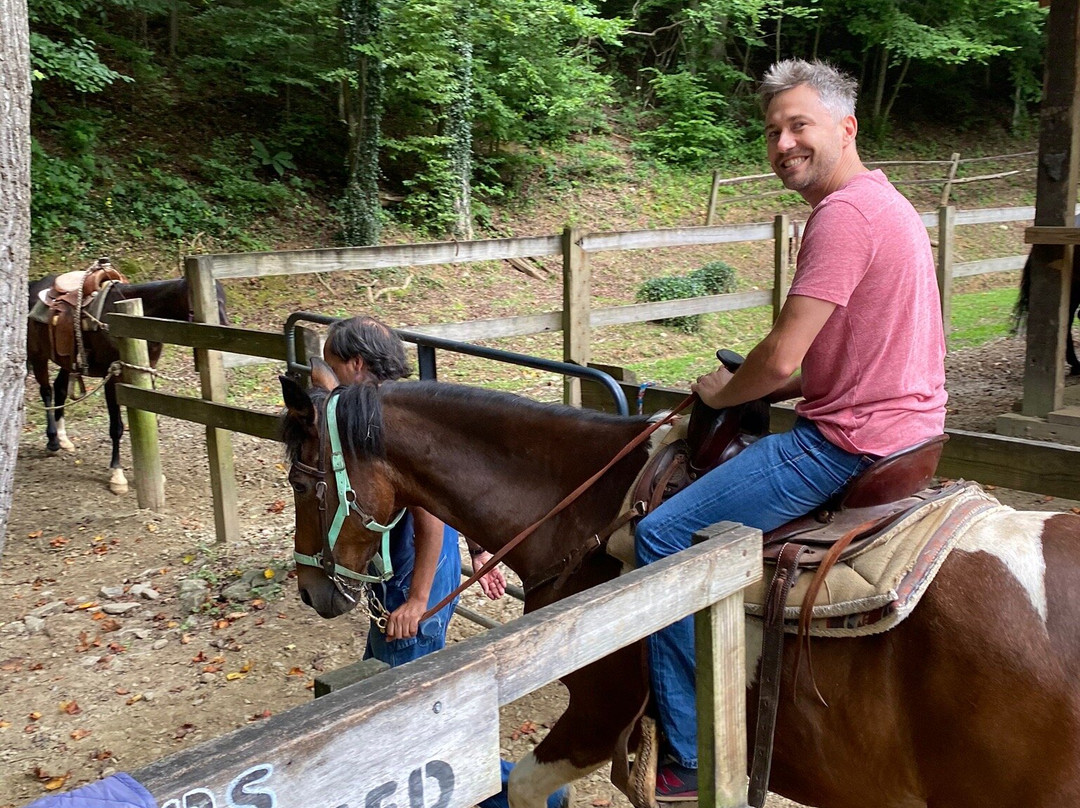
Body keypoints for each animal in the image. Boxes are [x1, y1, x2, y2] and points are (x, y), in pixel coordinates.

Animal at [27, 276, 226, 492]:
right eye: (202, 304)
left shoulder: (147, 372)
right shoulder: (112, 377)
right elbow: (116, 427)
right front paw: (117, 475)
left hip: (66, 360)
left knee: (60, 389)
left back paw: (63, 439)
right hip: (37, 356)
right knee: (46, 391)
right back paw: (53, 441)